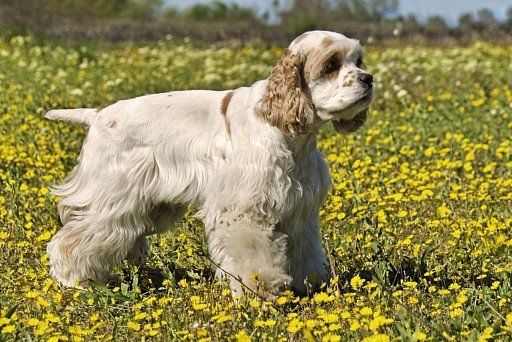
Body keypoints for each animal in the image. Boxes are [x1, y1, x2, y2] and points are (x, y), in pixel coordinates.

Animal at [46, 31, 374, 300]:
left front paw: (311, 286)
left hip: (148, 209)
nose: (368, 78)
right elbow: (254, 256)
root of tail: (97, 116)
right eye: (331, 65)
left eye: (358, 60)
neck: (287, 129)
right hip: (112, 202)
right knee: (71, 241)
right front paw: (261, 292)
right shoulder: (244, 209)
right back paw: (75, 283)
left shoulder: (299, 210)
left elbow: (306, 252)